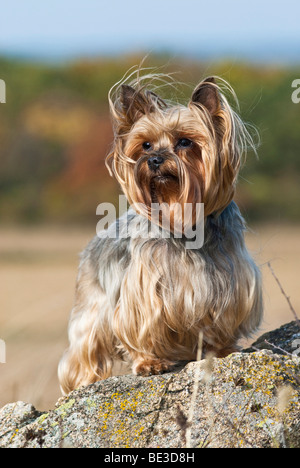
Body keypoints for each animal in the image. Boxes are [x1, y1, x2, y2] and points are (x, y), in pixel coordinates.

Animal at [58, 69, 262, 394]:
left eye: (184, 142)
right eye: (146, 145)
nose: (154, 160)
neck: (180, 215)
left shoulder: (230, 283)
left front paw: (224, 349)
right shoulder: (142, 294)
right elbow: (140, 329)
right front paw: (149, 362)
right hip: (92, 307)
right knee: (84, 349)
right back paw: (83, 381)